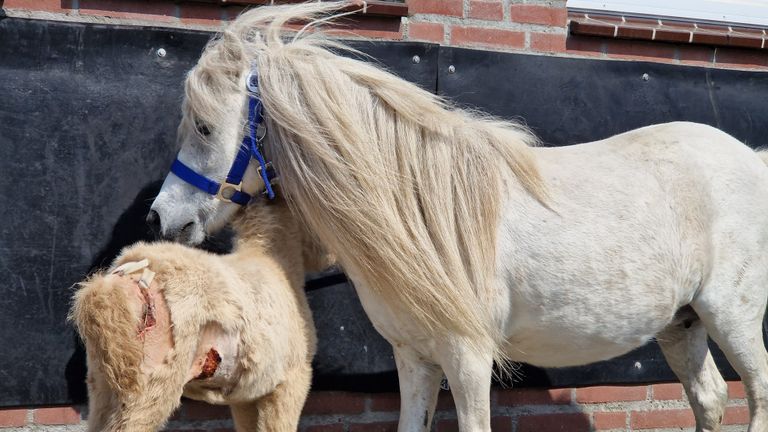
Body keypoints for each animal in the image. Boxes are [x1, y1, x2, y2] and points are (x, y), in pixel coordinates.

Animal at [148, 1, 768, 430]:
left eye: (204, 127)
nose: (161, 219)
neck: (422, 218)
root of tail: (751, 159)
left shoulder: (468, 358)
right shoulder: (414, 358)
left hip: (732, 317)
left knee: (756, 394)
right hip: (682, 322)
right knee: (710, 399)